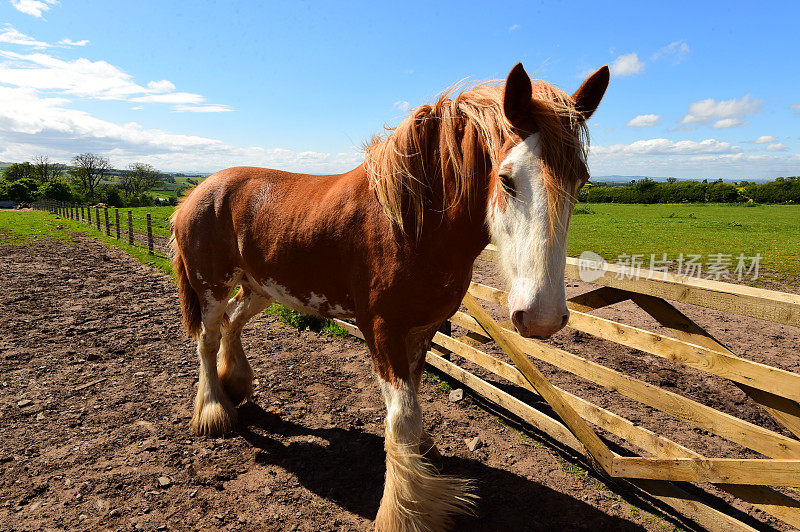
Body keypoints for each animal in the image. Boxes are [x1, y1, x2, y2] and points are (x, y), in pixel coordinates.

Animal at [169, 63, 608, 532]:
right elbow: (402, 417)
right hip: (211, 287)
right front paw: (406, 508)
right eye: (506, 179)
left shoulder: (423, 327)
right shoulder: (381, 330)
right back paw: (214, 411)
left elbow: (414, 399)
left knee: (233, 323)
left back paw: (234, 386)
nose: (542, 317)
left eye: (581, 180)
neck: (414, 225)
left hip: (259, 287)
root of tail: (194, 193)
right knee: (208, 339)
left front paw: (424, 459)